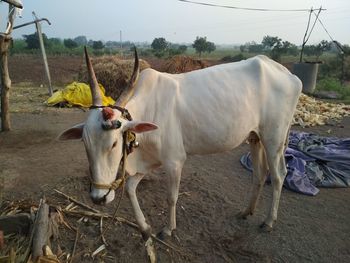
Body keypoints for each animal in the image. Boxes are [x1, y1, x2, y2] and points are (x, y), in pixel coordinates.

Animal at [58, 47, 302, 241]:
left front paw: (167, 229)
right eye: (85, 143)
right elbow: (129, 189)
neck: (150, 108)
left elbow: (171, 197)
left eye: (114, 143)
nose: (98, 198)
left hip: (274, 139)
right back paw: (246, 212)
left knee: (279, 174)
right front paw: (145, 228)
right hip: (255, 137)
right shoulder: (149, 161)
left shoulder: (174, 161)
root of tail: (288, 75)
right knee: (259, 174)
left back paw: (269, 221)